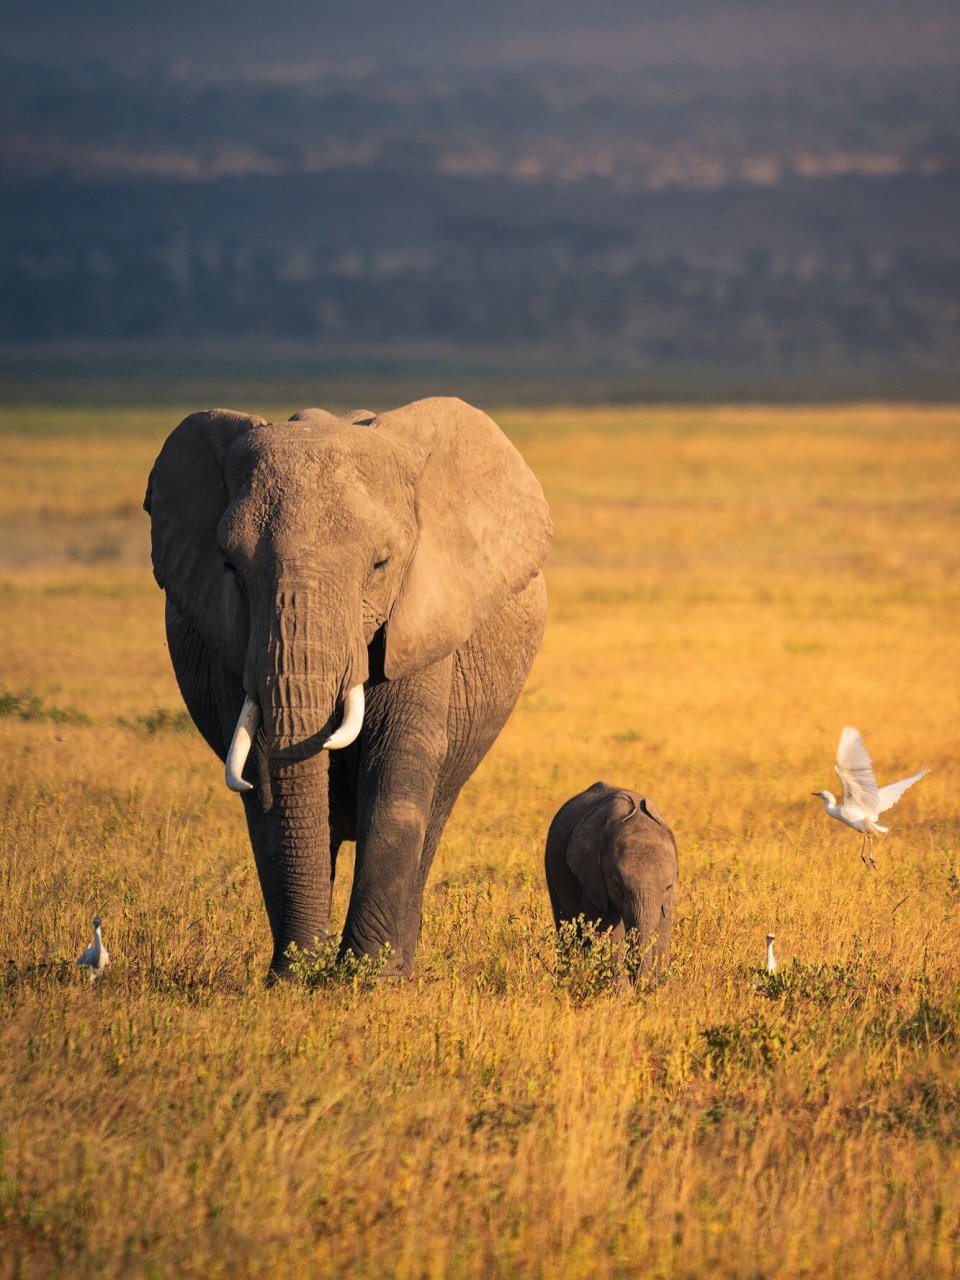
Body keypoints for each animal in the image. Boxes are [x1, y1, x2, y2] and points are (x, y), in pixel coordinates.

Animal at [145, 399, 552, 977]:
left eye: (380, 565)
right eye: (231, 566)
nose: (302, 968)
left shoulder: (424, 614)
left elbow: (397, 769)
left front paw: (369, 979)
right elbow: (264, 786)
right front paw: (293, 978)